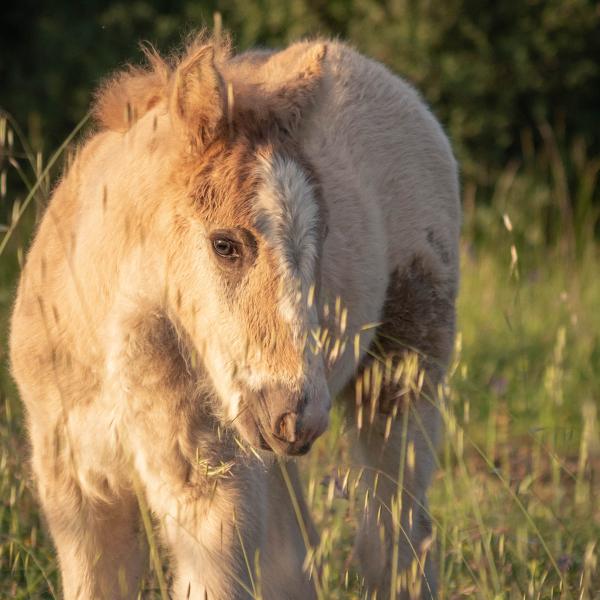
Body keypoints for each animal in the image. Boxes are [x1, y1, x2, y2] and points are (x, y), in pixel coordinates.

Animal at [9, 34, 460, 600]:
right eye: (225, 245)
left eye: (322, 239)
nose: (296, 415)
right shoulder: (78, 491)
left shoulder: (210, 488)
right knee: (297, 550)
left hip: (401, 369)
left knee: (396, 536)